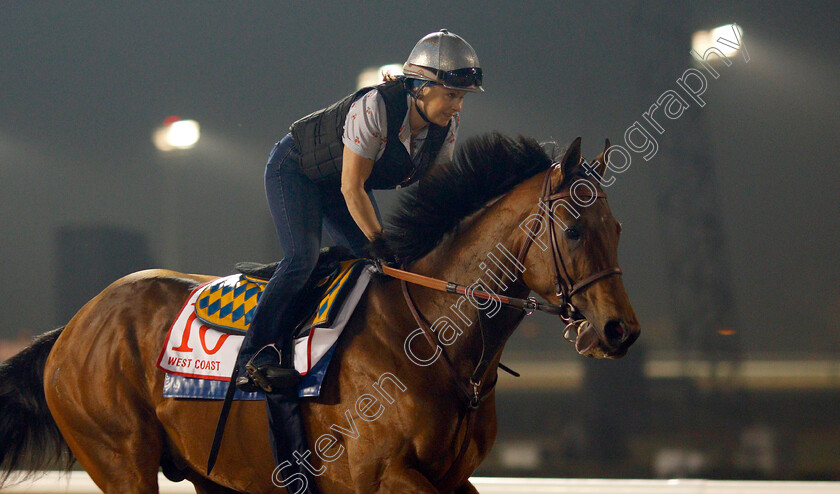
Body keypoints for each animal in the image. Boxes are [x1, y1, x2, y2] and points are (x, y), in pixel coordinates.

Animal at [1, 132, 636, 494]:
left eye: (617, 228)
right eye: (575, 229)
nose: (620, 330)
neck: (432, 335)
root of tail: (72, 327)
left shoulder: (453, 480)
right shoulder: (381, 476)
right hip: (119, 458)